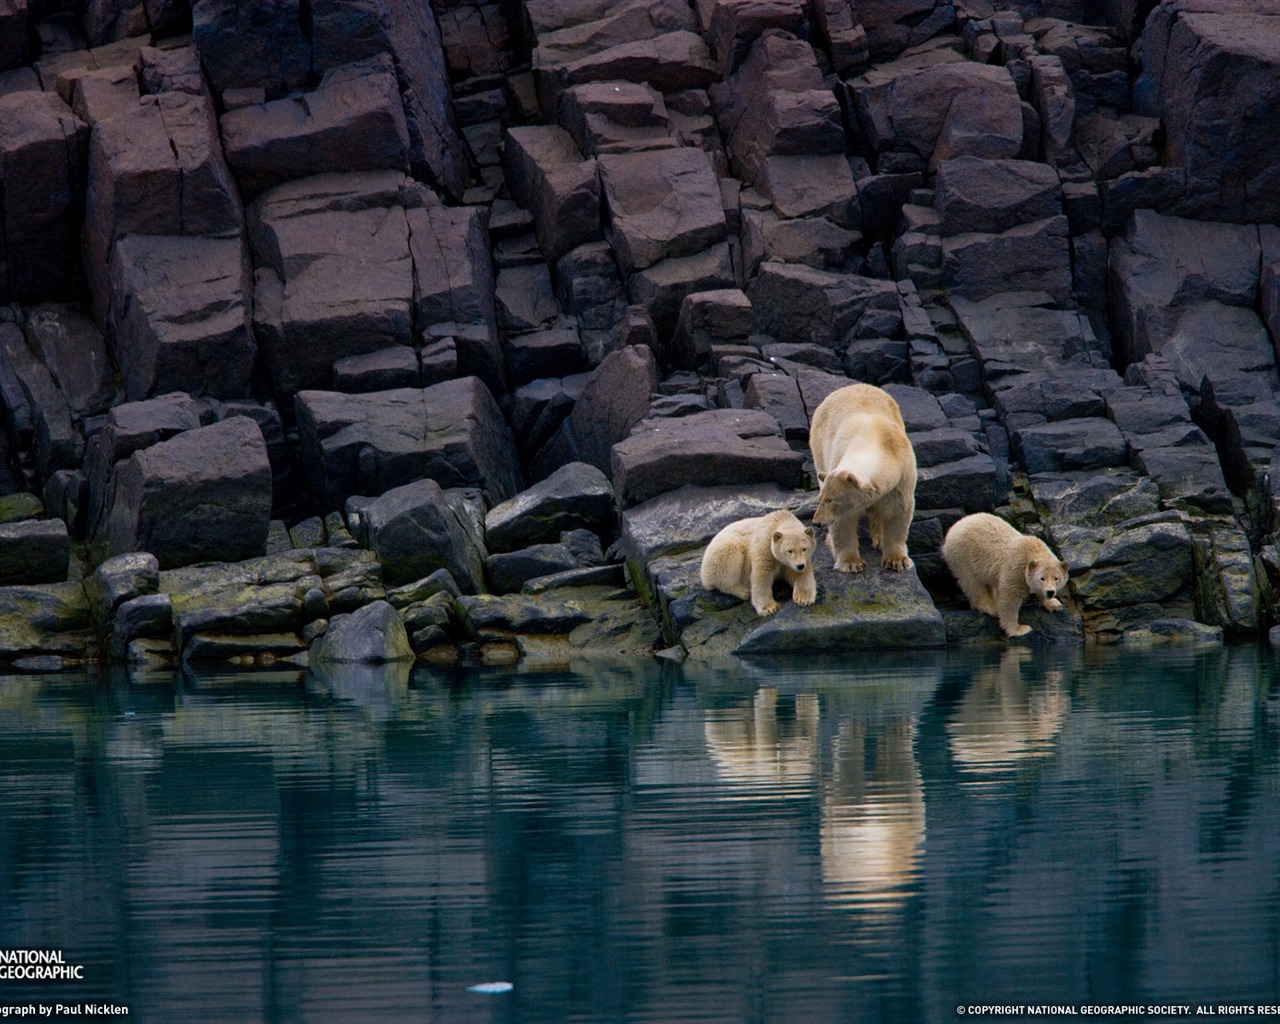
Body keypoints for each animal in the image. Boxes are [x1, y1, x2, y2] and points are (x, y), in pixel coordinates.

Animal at [803, 386, 916, 576]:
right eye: (821, 499)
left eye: (830, 500)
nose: (817, 522)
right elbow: (843, 521)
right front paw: (851, 563)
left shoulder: (902, 476)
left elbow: (897, 510)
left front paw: (896, 560)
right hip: (819, 445)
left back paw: (879, 537)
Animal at [942, 517, 1070, 634]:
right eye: (1041, 578)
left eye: (1056, 578)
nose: (1050, 592)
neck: (1032, 550)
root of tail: (956, 525)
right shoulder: (1016, 567)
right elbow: (1009, 597)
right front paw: (1019, 629)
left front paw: (1054, 604)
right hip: (962, 556)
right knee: (973, 582)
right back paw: (991, 606)